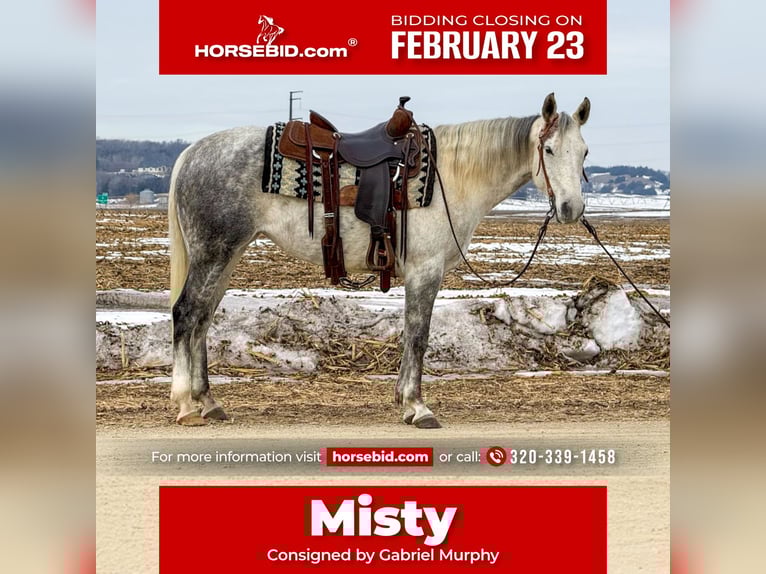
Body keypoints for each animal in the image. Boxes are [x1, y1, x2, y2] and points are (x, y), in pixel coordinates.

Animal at [167, 92, 591, 427]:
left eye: (585, 152)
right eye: (549, 150)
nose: (571, 209)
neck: (451, 178)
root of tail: (190, 154)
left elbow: (410, 334)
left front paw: (404, 401)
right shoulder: (424, 270)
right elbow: (418, 336)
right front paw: (417, 407)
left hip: (228, 254)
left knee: (203, 318)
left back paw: (208, 402)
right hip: (213, 252)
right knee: (187, 313)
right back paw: (186, 403)